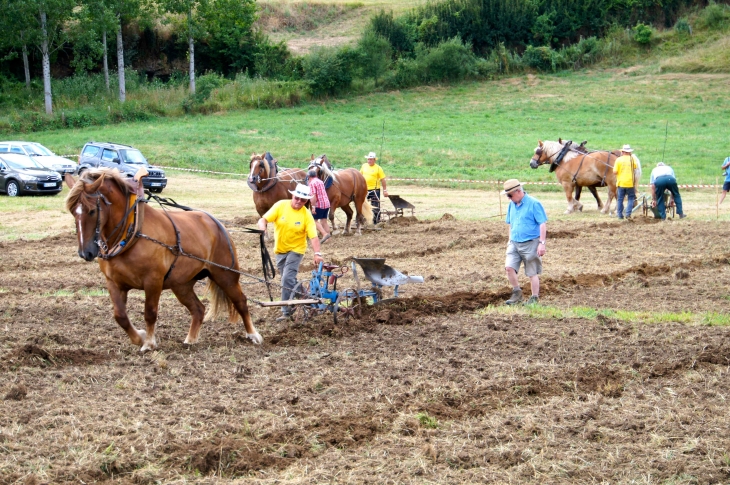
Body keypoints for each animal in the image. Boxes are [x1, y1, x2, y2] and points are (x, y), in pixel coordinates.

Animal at [64, 168, 260, 350]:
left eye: (91, 211)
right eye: (73, 211)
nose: (85, 253)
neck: (132, 231)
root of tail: (217, 224)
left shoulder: (153, 281)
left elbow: (150, 312)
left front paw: (149, 343)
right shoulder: (113, 282)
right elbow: (120, 316)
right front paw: (139, 337)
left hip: (225, 275)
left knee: (241, 302)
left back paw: (253, 335)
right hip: (181, 284)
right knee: (198, 309)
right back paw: (190, 340)